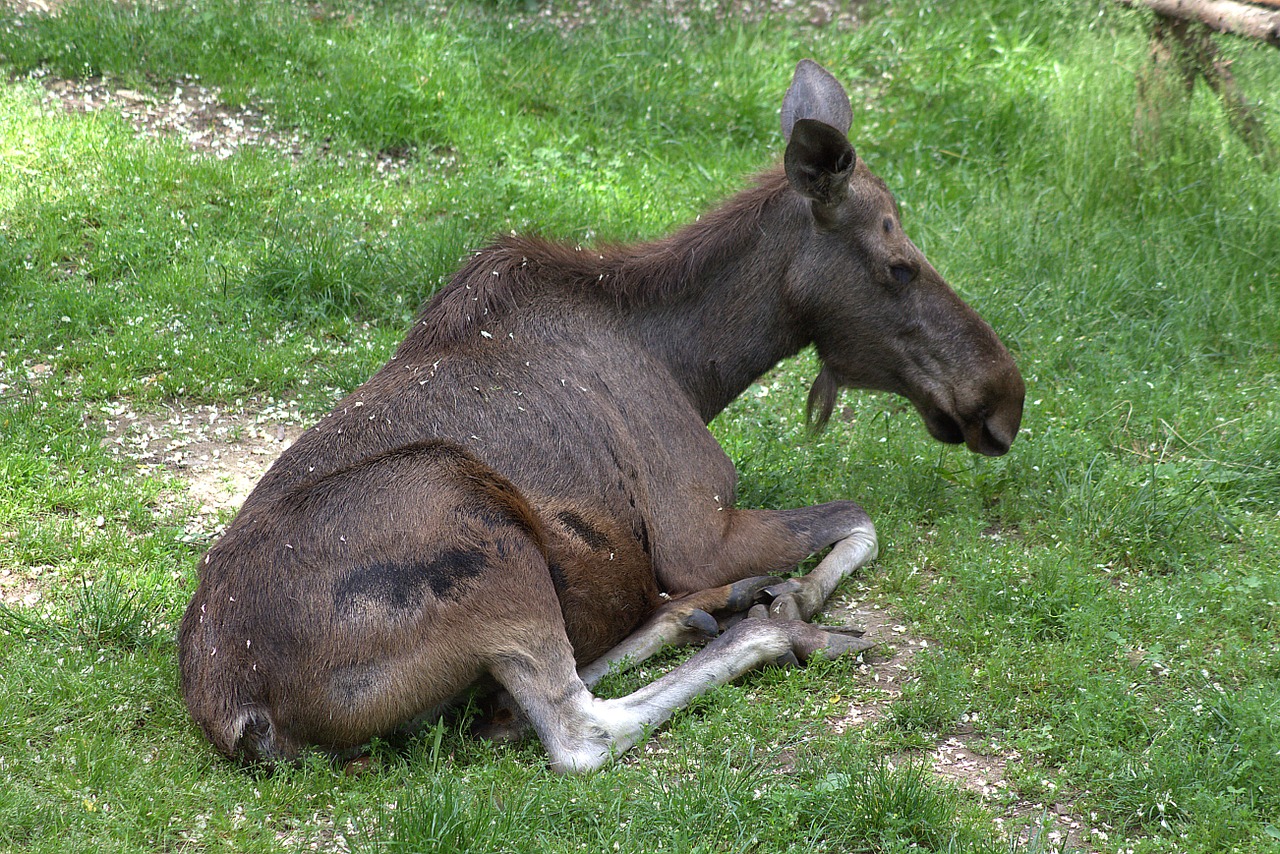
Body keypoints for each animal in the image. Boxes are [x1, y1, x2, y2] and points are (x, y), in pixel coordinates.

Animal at [177, 60, 1018, 773]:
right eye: (899, 266)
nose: (1004, 398)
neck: (692, 368)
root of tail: (242, 714)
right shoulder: (698, 532)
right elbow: (860, 517)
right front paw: (799, 594)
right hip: (472, 519)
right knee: (579, 731)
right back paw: (764, 623)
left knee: (526, 704)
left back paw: (700, 615)